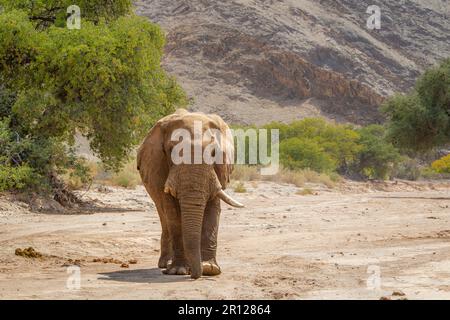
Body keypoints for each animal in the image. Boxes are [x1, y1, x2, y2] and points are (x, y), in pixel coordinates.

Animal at [136, 109, 244, 278]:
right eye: (171, 151)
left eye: (214, 153)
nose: (194, 275)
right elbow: (172, 212)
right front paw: (178, 271)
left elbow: (213, 209)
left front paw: (209, 269)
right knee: (163, 215)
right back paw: (166, 264)